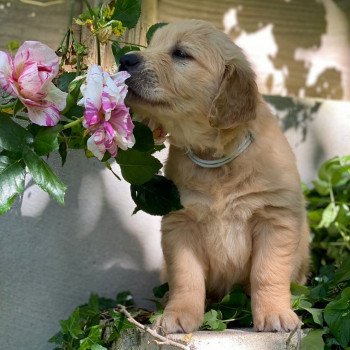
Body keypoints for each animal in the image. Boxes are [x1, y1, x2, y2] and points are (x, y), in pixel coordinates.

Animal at [120, 19, 308, 334]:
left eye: (181, 53)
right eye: (152, 45)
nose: (124, 59)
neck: (216, 159)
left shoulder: (275, 219)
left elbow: (267, 273)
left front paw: (275, 314)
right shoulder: (181, 223)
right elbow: (186, 277)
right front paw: (178, 315)